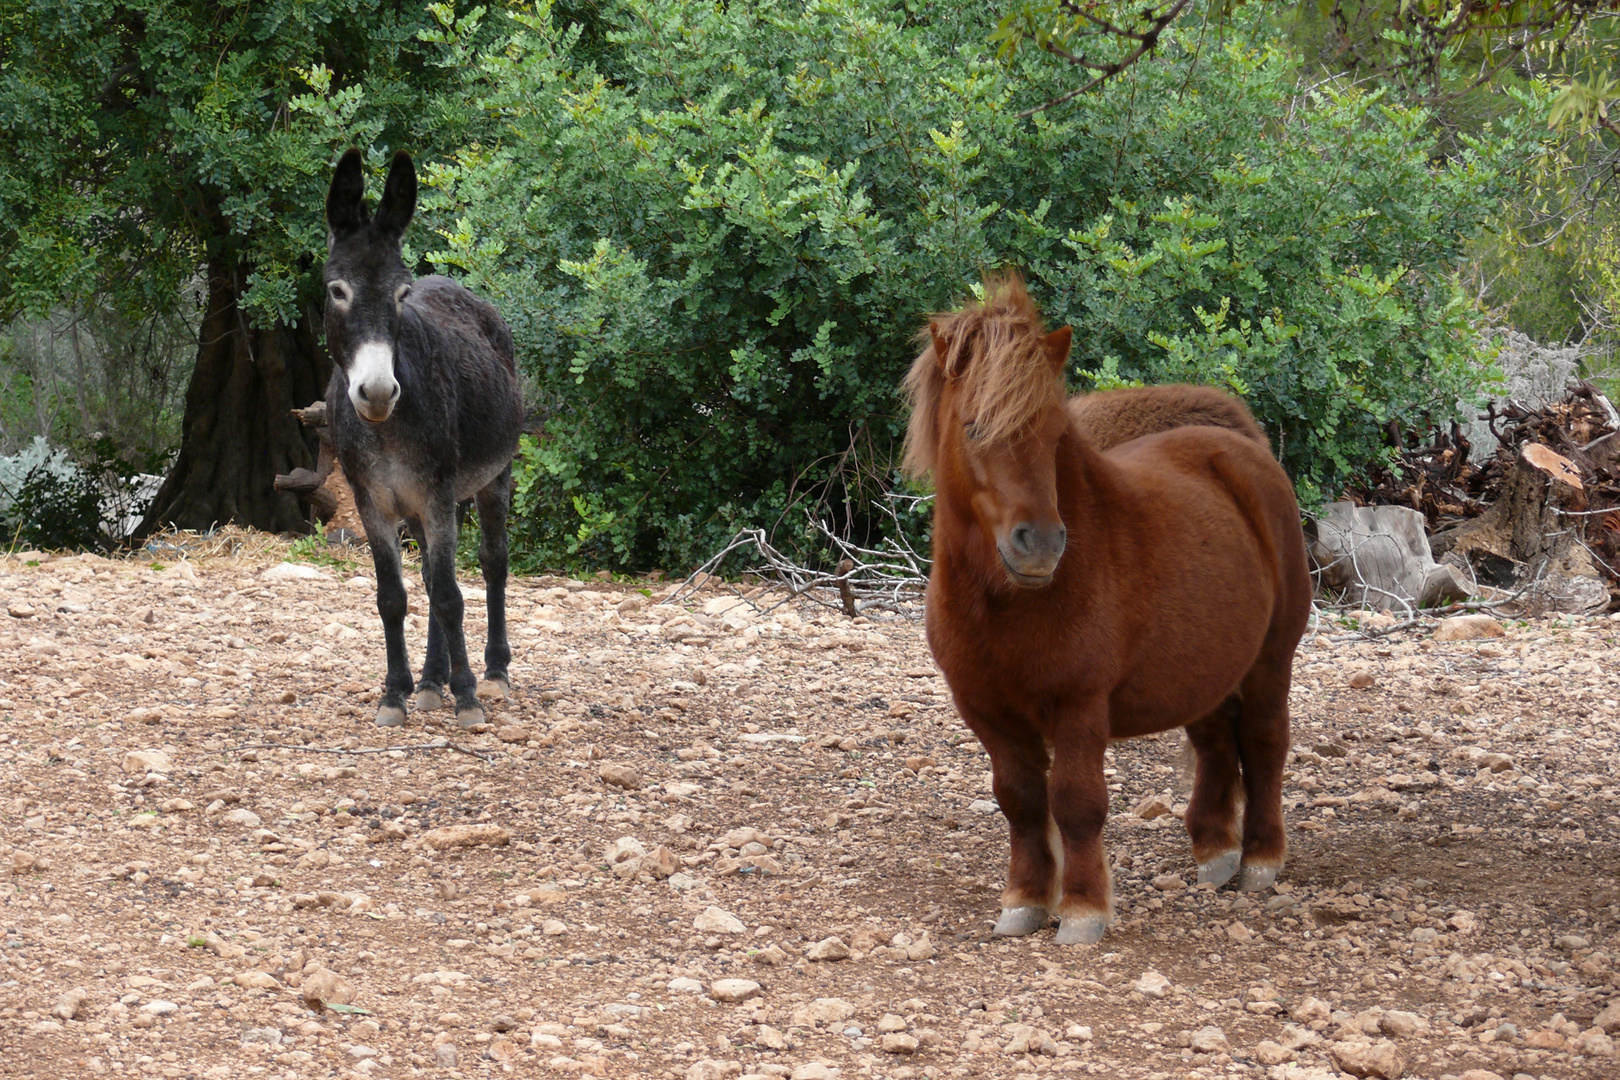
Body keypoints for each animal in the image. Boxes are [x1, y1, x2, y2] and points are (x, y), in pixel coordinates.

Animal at [907, 272, 1308, 945]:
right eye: (973, 427)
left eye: (1054, 434)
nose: (1041, 544)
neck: (1004, 606)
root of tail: (1241, 448)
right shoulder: (986, 711)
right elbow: (1020, 799)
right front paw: (1024, 903)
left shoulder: (1079, 707)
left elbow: (1076, 802)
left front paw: (1083, 911)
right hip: (1204, 666)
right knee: (1215, 743)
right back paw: (1215, 855)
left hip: (1271, 662)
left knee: (1263, 742)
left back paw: (1258, 862)